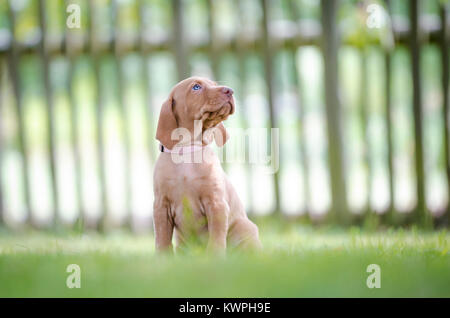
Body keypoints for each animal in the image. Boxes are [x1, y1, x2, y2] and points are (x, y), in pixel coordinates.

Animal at [153, 77, 262, 253]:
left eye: (215, 84)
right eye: (196, 87)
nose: (230, 90)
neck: (188, 151)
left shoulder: (216, 203)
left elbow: (216, 238)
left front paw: (215, 257)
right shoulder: (161, 207)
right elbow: (162, 240)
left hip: (243, 228)